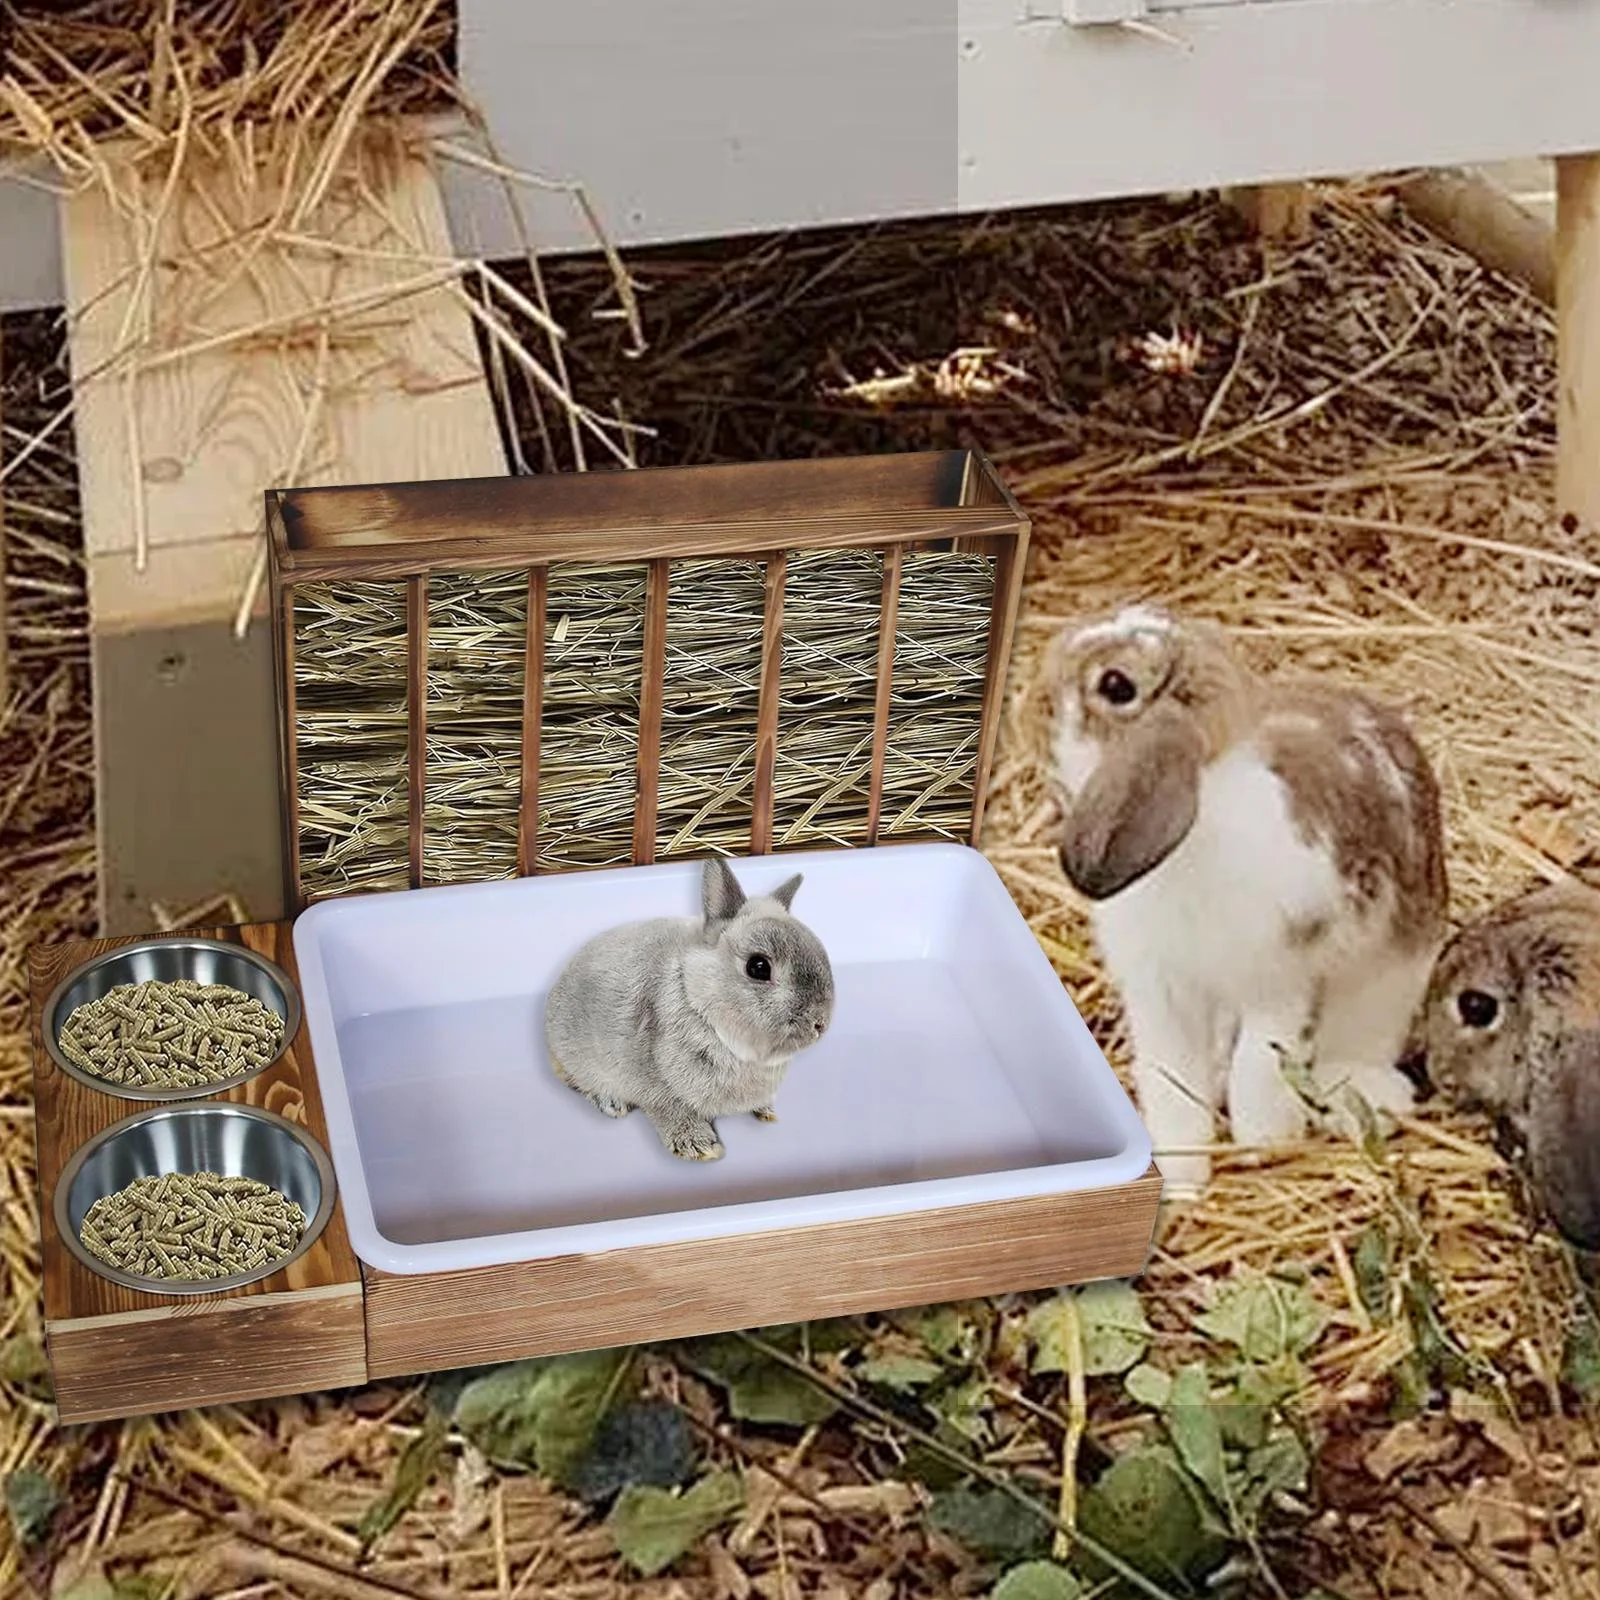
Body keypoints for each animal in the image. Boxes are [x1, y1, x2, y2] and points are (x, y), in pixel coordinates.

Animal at [543, 856, 836, 1162]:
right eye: (758, 967)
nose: (820, 1024)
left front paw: (766, 1112)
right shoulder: (653, 1085)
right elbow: (670, 1110)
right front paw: (702, 1148)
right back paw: (612, 1103)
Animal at [1041, 603, 1448, 1199]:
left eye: (1115, 685)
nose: (1039, 696)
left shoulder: (1276, 983)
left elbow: (1257, 1069)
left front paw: (1264, 1145)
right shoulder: (1163, 993)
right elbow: (1171, 1086)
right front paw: (1180, 1184)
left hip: (1388, 978)